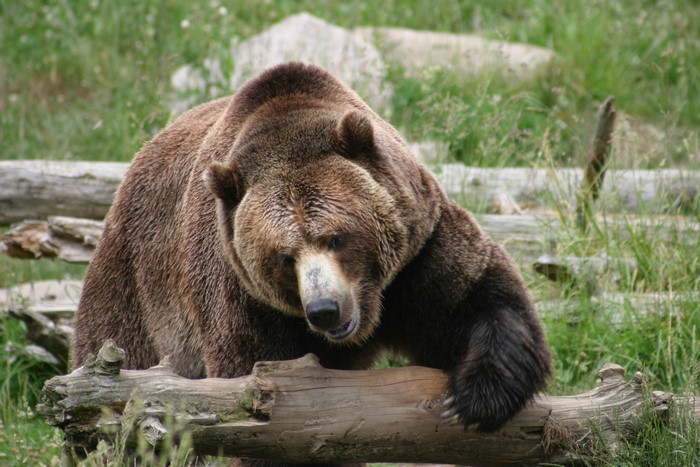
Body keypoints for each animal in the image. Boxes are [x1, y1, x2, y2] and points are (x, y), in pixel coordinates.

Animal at [72, 62, 551, 463]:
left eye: (337, 237)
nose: (325, 309)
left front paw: (472, 398)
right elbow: (257, 389)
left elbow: (475, 299)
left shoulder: (416, 253)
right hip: (135, 285)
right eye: (284, 257)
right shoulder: (244, 296)